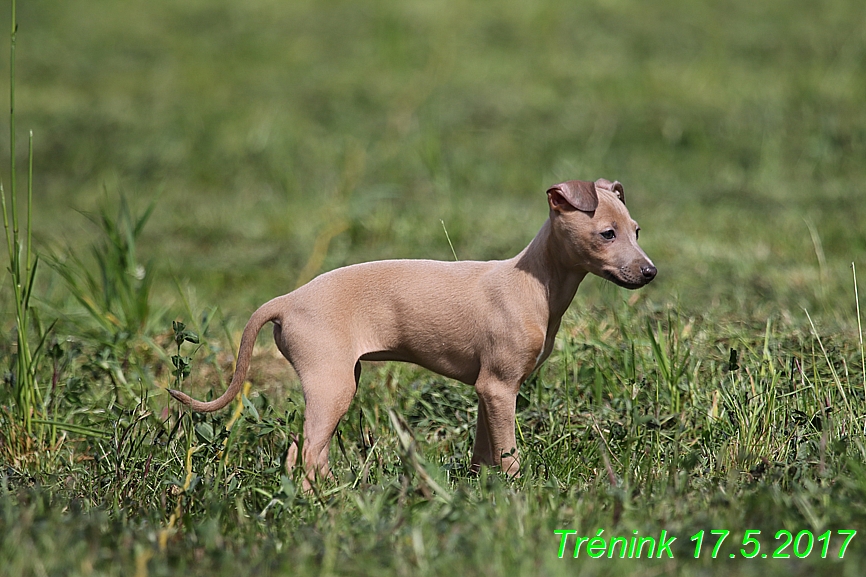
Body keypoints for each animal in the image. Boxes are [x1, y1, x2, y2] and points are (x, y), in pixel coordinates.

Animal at [169, 179, 656, 486]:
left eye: (636, 231)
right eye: (607, 234)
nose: (650, 272)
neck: (532, 283)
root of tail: (287, 300)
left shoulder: (486, 390)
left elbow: (485, 450)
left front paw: (480, 492)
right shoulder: (499, 387)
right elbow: (509, 454)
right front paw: (520, 498)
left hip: (338, 381)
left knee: (307, 452)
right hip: (331, 384)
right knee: (303, 454)